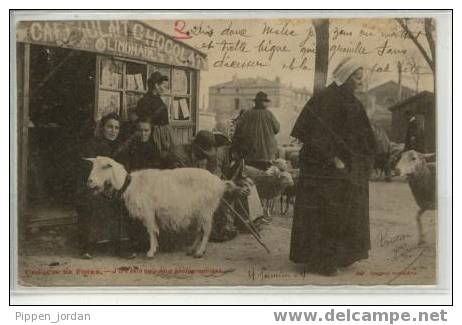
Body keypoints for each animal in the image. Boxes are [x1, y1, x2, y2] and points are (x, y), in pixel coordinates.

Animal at [84, 156, 231, 256]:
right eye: (93, 166)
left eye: (104, 167)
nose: (89, 181)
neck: (130, 184)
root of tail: (219, 183)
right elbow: (152, 230)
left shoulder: (148, 211)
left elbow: (151, 230)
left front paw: (151, 251)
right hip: (198, 212)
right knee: (199, 230)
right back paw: (192, 249)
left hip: (206, 210)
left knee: (206, 230)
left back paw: (200, 252)